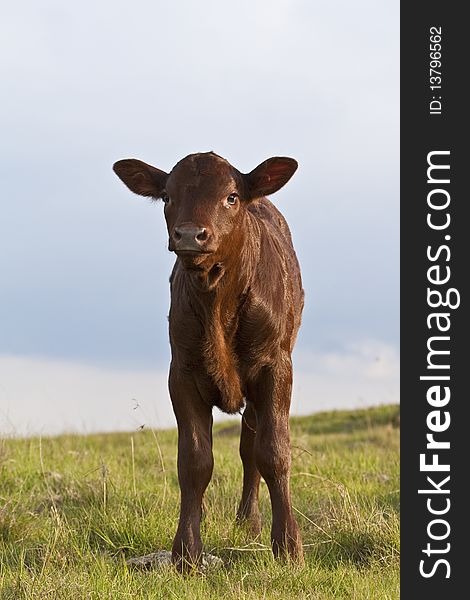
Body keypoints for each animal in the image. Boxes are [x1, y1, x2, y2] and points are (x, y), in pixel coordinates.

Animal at [113, 152, 304, 568]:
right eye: (167, 196)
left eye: (231, 197)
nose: (188, 234)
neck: (217, 301)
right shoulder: (181, 374)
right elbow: (195, 462)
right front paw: (186, 553)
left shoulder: (275, 367)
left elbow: (273, 452)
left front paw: (287, 546)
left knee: (251, 447)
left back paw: (249, 522)